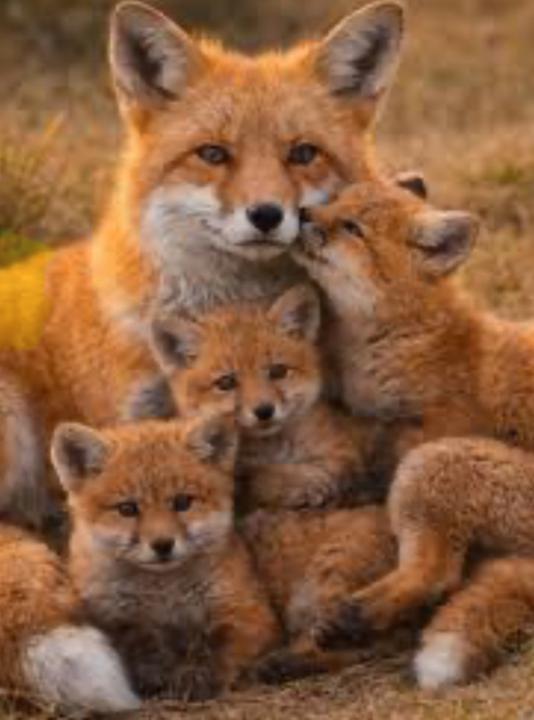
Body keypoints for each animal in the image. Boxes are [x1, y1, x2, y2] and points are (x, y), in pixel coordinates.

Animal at [51, 415, 281, 700]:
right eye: (127, 509)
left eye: (182, 502)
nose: (163, 545)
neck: (164, 595)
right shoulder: (110, 616)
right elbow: (139, 645)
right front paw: (157, 672)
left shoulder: (249, 611)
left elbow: (221, 649)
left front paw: (199, 677)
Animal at [128, 283, 387, 511]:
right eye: (226, 383)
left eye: (278, 371)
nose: (264, 410)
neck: (276, 449)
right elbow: (260, 478)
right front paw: (302, 483)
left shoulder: (343, 450)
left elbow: (337, 467)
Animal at [293, 177, 534, 686]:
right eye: (334, 201)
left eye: (352, 228)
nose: (301, 213)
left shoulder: (419, 442)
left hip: (434, 465)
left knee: (437, 575)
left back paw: (350, 620)